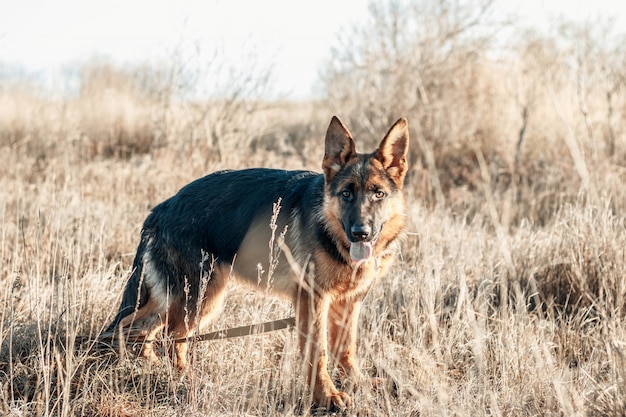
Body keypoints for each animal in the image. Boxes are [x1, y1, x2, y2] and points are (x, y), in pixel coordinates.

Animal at [106, 115, 410, 408]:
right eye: (346, 193)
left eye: (378, 194)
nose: (361, 233)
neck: (330, 227)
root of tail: (163, 207)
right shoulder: (313, 300)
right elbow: (318, 353)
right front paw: (327, 397)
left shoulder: (349, 301)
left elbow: (345, 348)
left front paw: (357, 383)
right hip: (198, 297)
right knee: (165, 335)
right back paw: (182, 378)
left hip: (180, 298)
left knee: (140, 329)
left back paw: (150, 366)